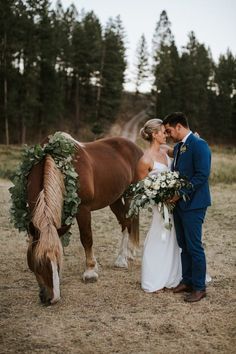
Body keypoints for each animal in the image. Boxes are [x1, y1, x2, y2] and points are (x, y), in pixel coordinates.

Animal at [26, 134, 143, 306]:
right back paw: (127, 254)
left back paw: (122, 259)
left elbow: (86, 238)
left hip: (130, 194)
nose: (52, 298)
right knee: (123, 222)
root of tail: (135, 146)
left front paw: (90, 272)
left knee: (128, 222)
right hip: (114, 199)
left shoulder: (83, 209)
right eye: (38, 261)